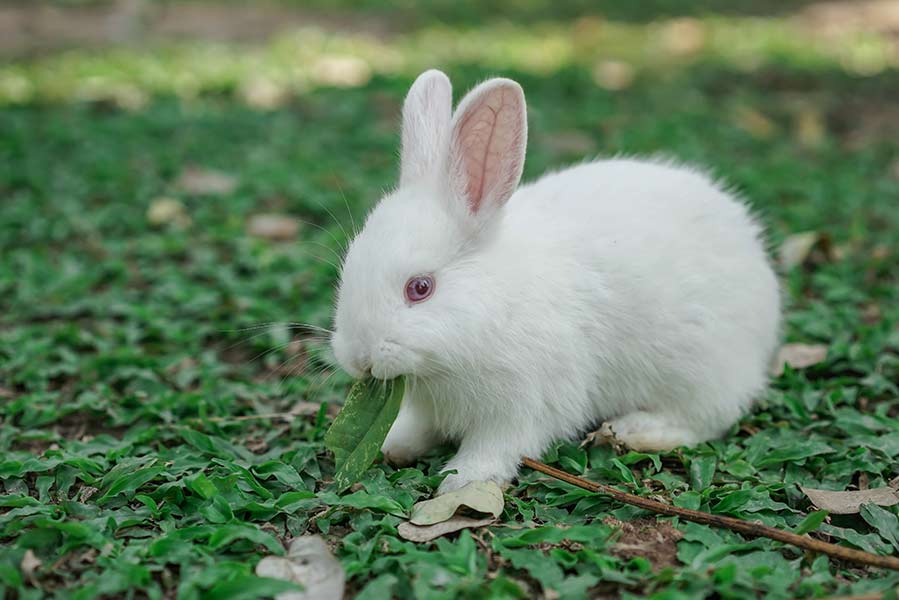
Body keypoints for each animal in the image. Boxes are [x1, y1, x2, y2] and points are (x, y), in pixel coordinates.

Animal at [330, 70, 780, 492]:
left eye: (420, 288)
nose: (357, 358)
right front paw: (395, 445)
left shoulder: (524, 404)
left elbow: (496, 446)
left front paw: (464, 480)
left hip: (701, 369)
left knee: (706, 417)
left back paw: (636, 431)